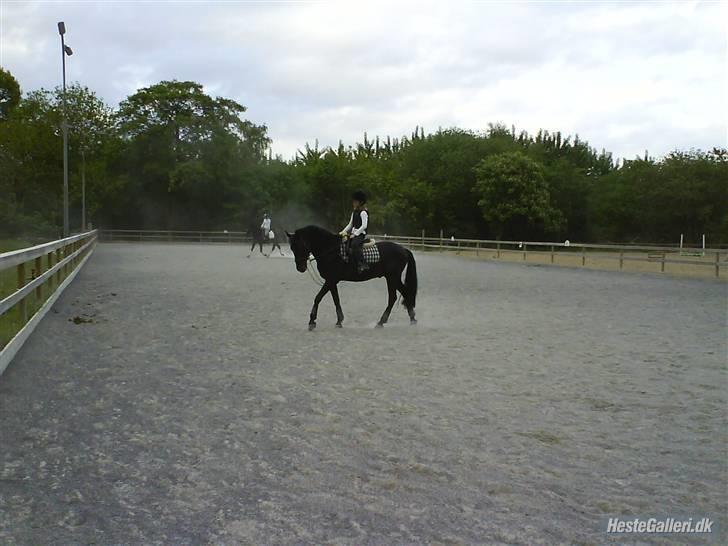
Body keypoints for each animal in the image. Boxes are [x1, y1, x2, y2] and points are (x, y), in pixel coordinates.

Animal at [286, 225, 417, 330]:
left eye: (300, 246)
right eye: (292, 248)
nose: (300, 268)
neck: (330, 250)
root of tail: (403, 249)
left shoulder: (331, 280)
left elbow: (318, 298)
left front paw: (312, 321)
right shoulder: (332, 280)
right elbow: (336, 299)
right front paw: (339, 321)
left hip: (392, 277)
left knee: (394, 297)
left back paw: (382, 322)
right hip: (393, 278)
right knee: (404, 293)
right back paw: (411, 319)